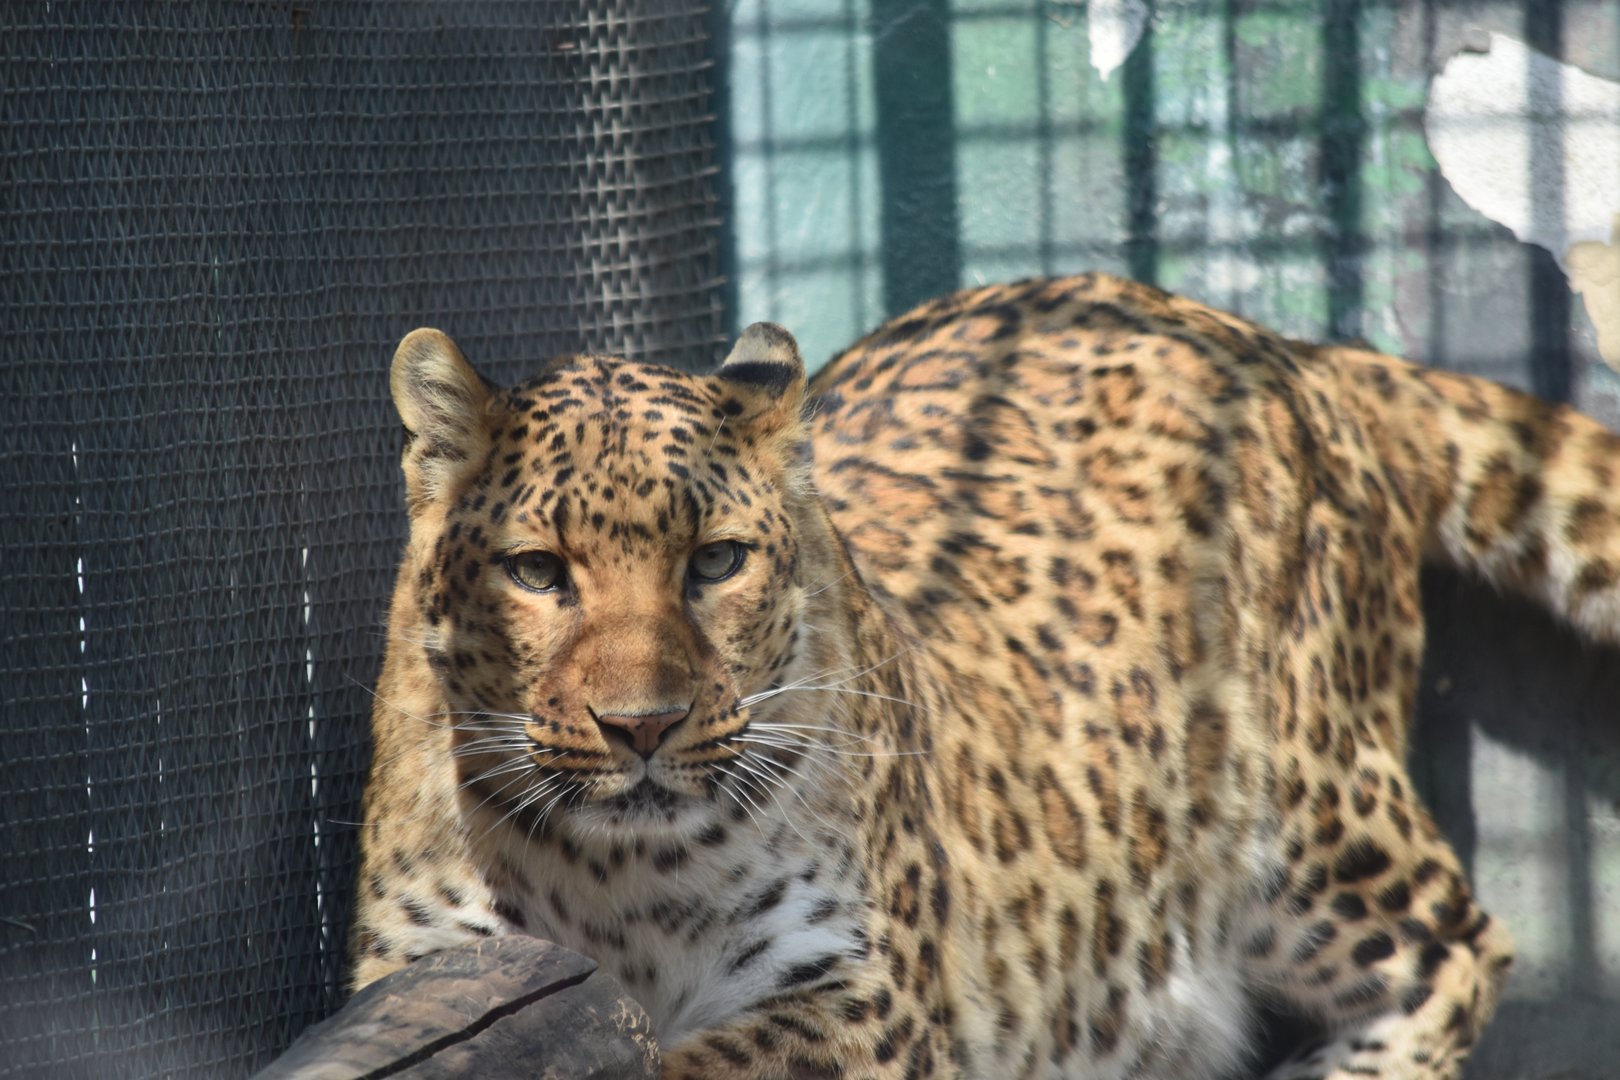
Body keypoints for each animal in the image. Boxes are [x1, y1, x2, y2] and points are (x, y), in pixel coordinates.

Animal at [349, 272, 1620, 1079]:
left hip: (1312, 815)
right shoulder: (429, 969)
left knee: (1458, 946)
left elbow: (703, 1067)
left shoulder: (864, 1000)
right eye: (536, 571)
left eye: (715, 561)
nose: (642, 727)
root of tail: (1266, 341)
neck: (622, 881)